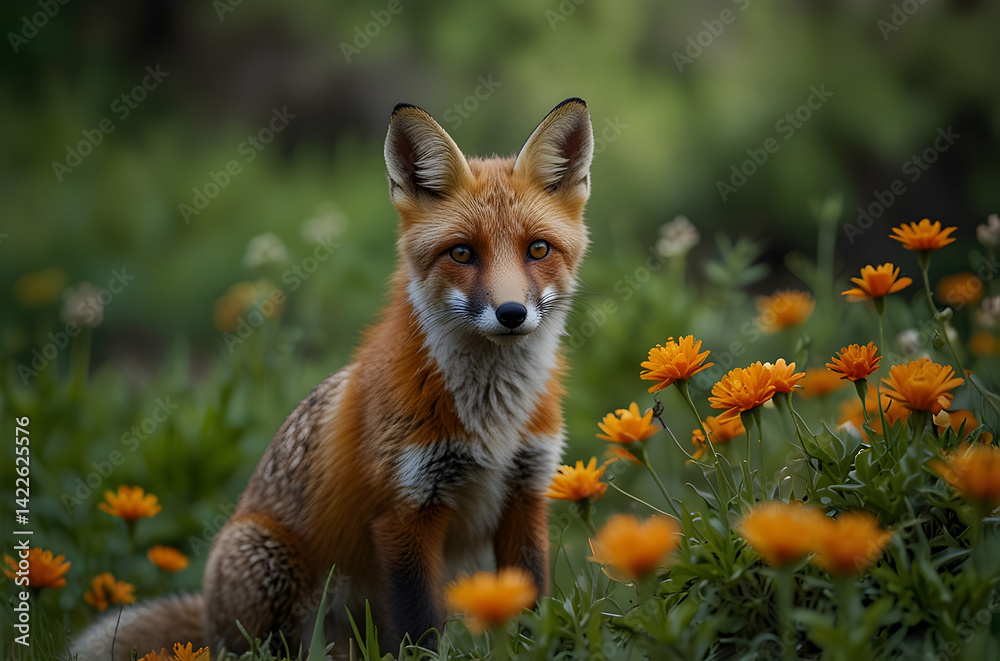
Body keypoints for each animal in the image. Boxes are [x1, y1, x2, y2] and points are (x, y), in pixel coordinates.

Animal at [72, 97, 594, 659]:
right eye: (461, 253)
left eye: (537, 250)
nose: (511, 313)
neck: (492, 421)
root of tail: (208, 620)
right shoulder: (404, 512)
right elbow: (420, 632)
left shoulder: (526, 494)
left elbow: (532, 605)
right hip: (273, 571)